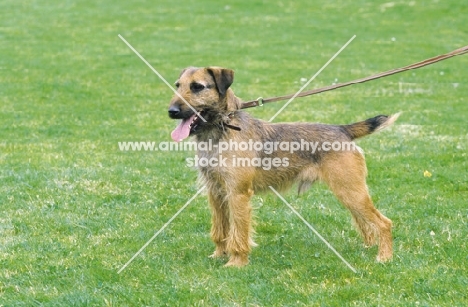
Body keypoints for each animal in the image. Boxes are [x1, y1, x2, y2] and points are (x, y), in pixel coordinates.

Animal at [168, 67, 398, 268]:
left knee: (384, 223)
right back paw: (368, 247)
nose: (171, 111)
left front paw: (236, 263)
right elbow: (220, 229)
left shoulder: (238, 194)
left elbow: (238, 232)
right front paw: (218, 255)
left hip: (351, 191)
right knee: (365, 222)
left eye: (197, 87)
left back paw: (384, 257)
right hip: (350, 193)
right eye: (178, 85)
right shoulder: (215, 192)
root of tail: (342, 129)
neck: (223, 127)